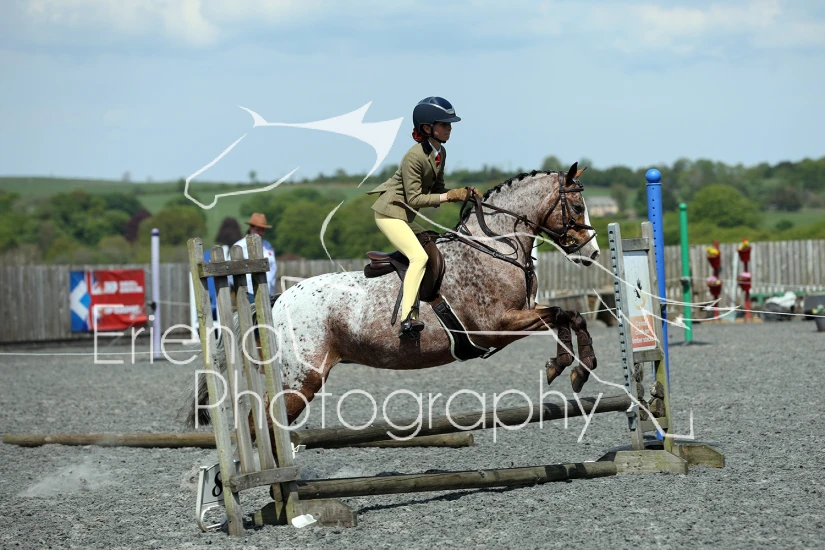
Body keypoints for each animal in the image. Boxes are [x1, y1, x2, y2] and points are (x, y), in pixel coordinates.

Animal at [183, 162, 601, 428]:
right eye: (578, 206)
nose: (593, 253)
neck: (494, 246)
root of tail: (276, 301)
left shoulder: (518, 315)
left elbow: (571, 315)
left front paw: (578, 368)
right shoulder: (495, 326)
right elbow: (559, 313)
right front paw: (565, 365)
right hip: (300, 381)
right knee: (265, 427)